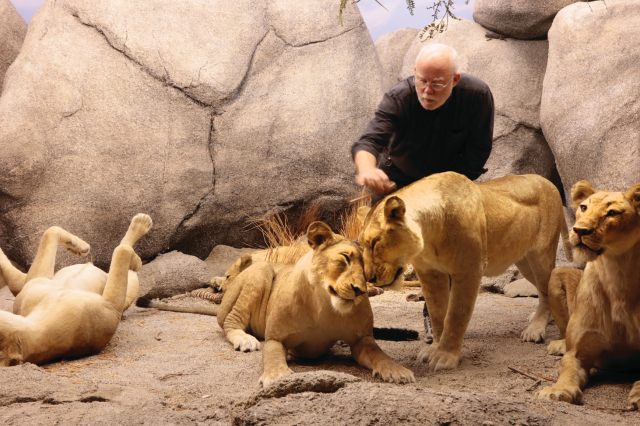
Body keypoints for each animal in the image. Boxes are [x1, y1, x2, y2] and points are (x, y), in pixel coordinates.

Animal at [0, 215, 151, 364]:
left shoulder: (33, 286)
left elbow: (49, 231)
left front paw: (77, 246)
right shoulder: (111, 308)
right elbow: (122, 251)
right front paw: (136, 257)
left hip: (27, 281)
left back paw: (81, 247)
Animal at [540, 180, 640, 406]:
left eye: (612, 213)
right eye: (584, 207)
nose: (579, 230)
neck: (616, 272)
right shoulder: (578, 353)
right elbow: (567, 369)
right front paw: (558, 391)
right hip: (555, 275)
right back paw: (558, 345)